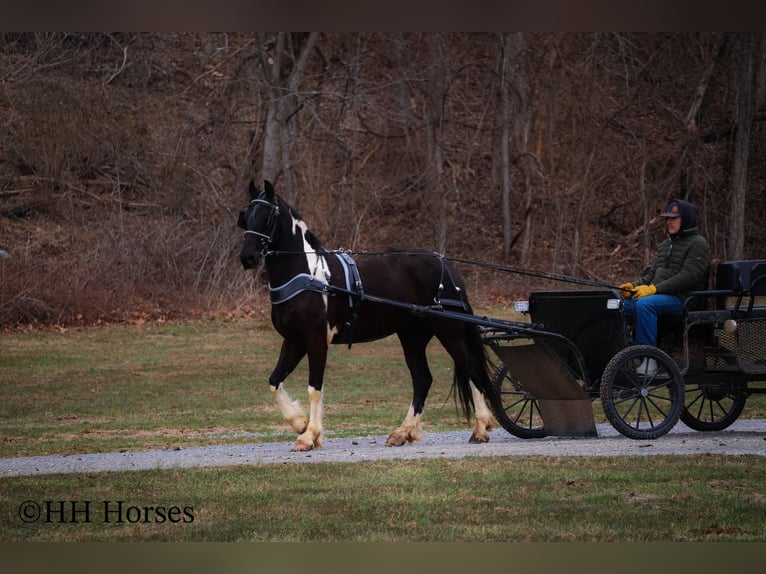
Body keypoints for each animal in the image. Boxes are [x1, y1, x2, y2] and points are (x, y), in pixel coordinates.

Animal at [237, 180, 498, 451]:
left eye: (268, 217)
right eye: (246, 216)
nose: (247, 257)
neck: (309, 276)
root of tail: (447, 267)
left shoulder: (316, 340)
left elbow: (314, 388)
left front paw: (309, 435)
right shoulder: (294, 341)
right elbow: (274, 380)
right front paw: (300, 423)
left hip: (450, 332)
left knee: (471, 369)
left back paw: (481, 428)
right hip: (412, 336)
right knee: (422, 379)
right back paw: (403, 432)